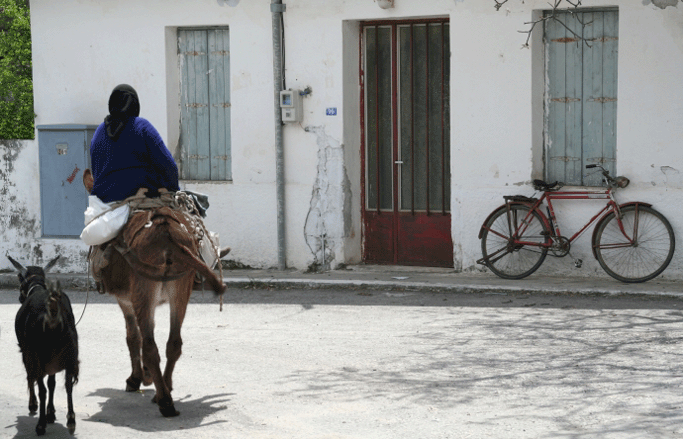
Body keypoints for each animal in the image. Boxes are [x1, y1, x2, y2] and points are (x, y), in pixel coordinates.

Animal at [8, 256, 79, 434]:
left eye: (21, 282)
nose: (19, 298)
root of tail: (52, 316)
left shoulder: (27, 352)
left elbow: (31, 378)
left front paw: (34, 405)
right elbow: (52, 383)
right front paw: (51, 412)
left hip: (37, 355)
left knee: (41, 388)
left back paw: (40, 425)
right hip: (69, 354)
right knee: (68, 385)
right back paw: (71, 420)